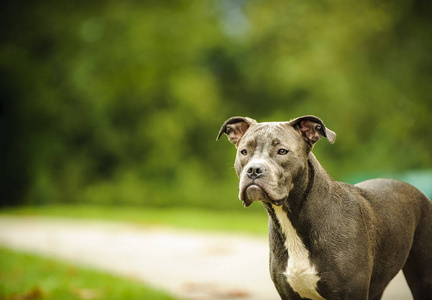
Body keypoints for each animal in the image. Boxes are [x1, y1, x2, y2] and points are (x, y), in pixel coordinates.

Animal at [218, 115, 432, 300]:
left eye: (282, 151)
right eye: (244, 152)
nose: (254, 170)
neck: (294, 219)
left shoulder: (350, 292)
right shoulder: (289, 293)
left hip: (423, 279)